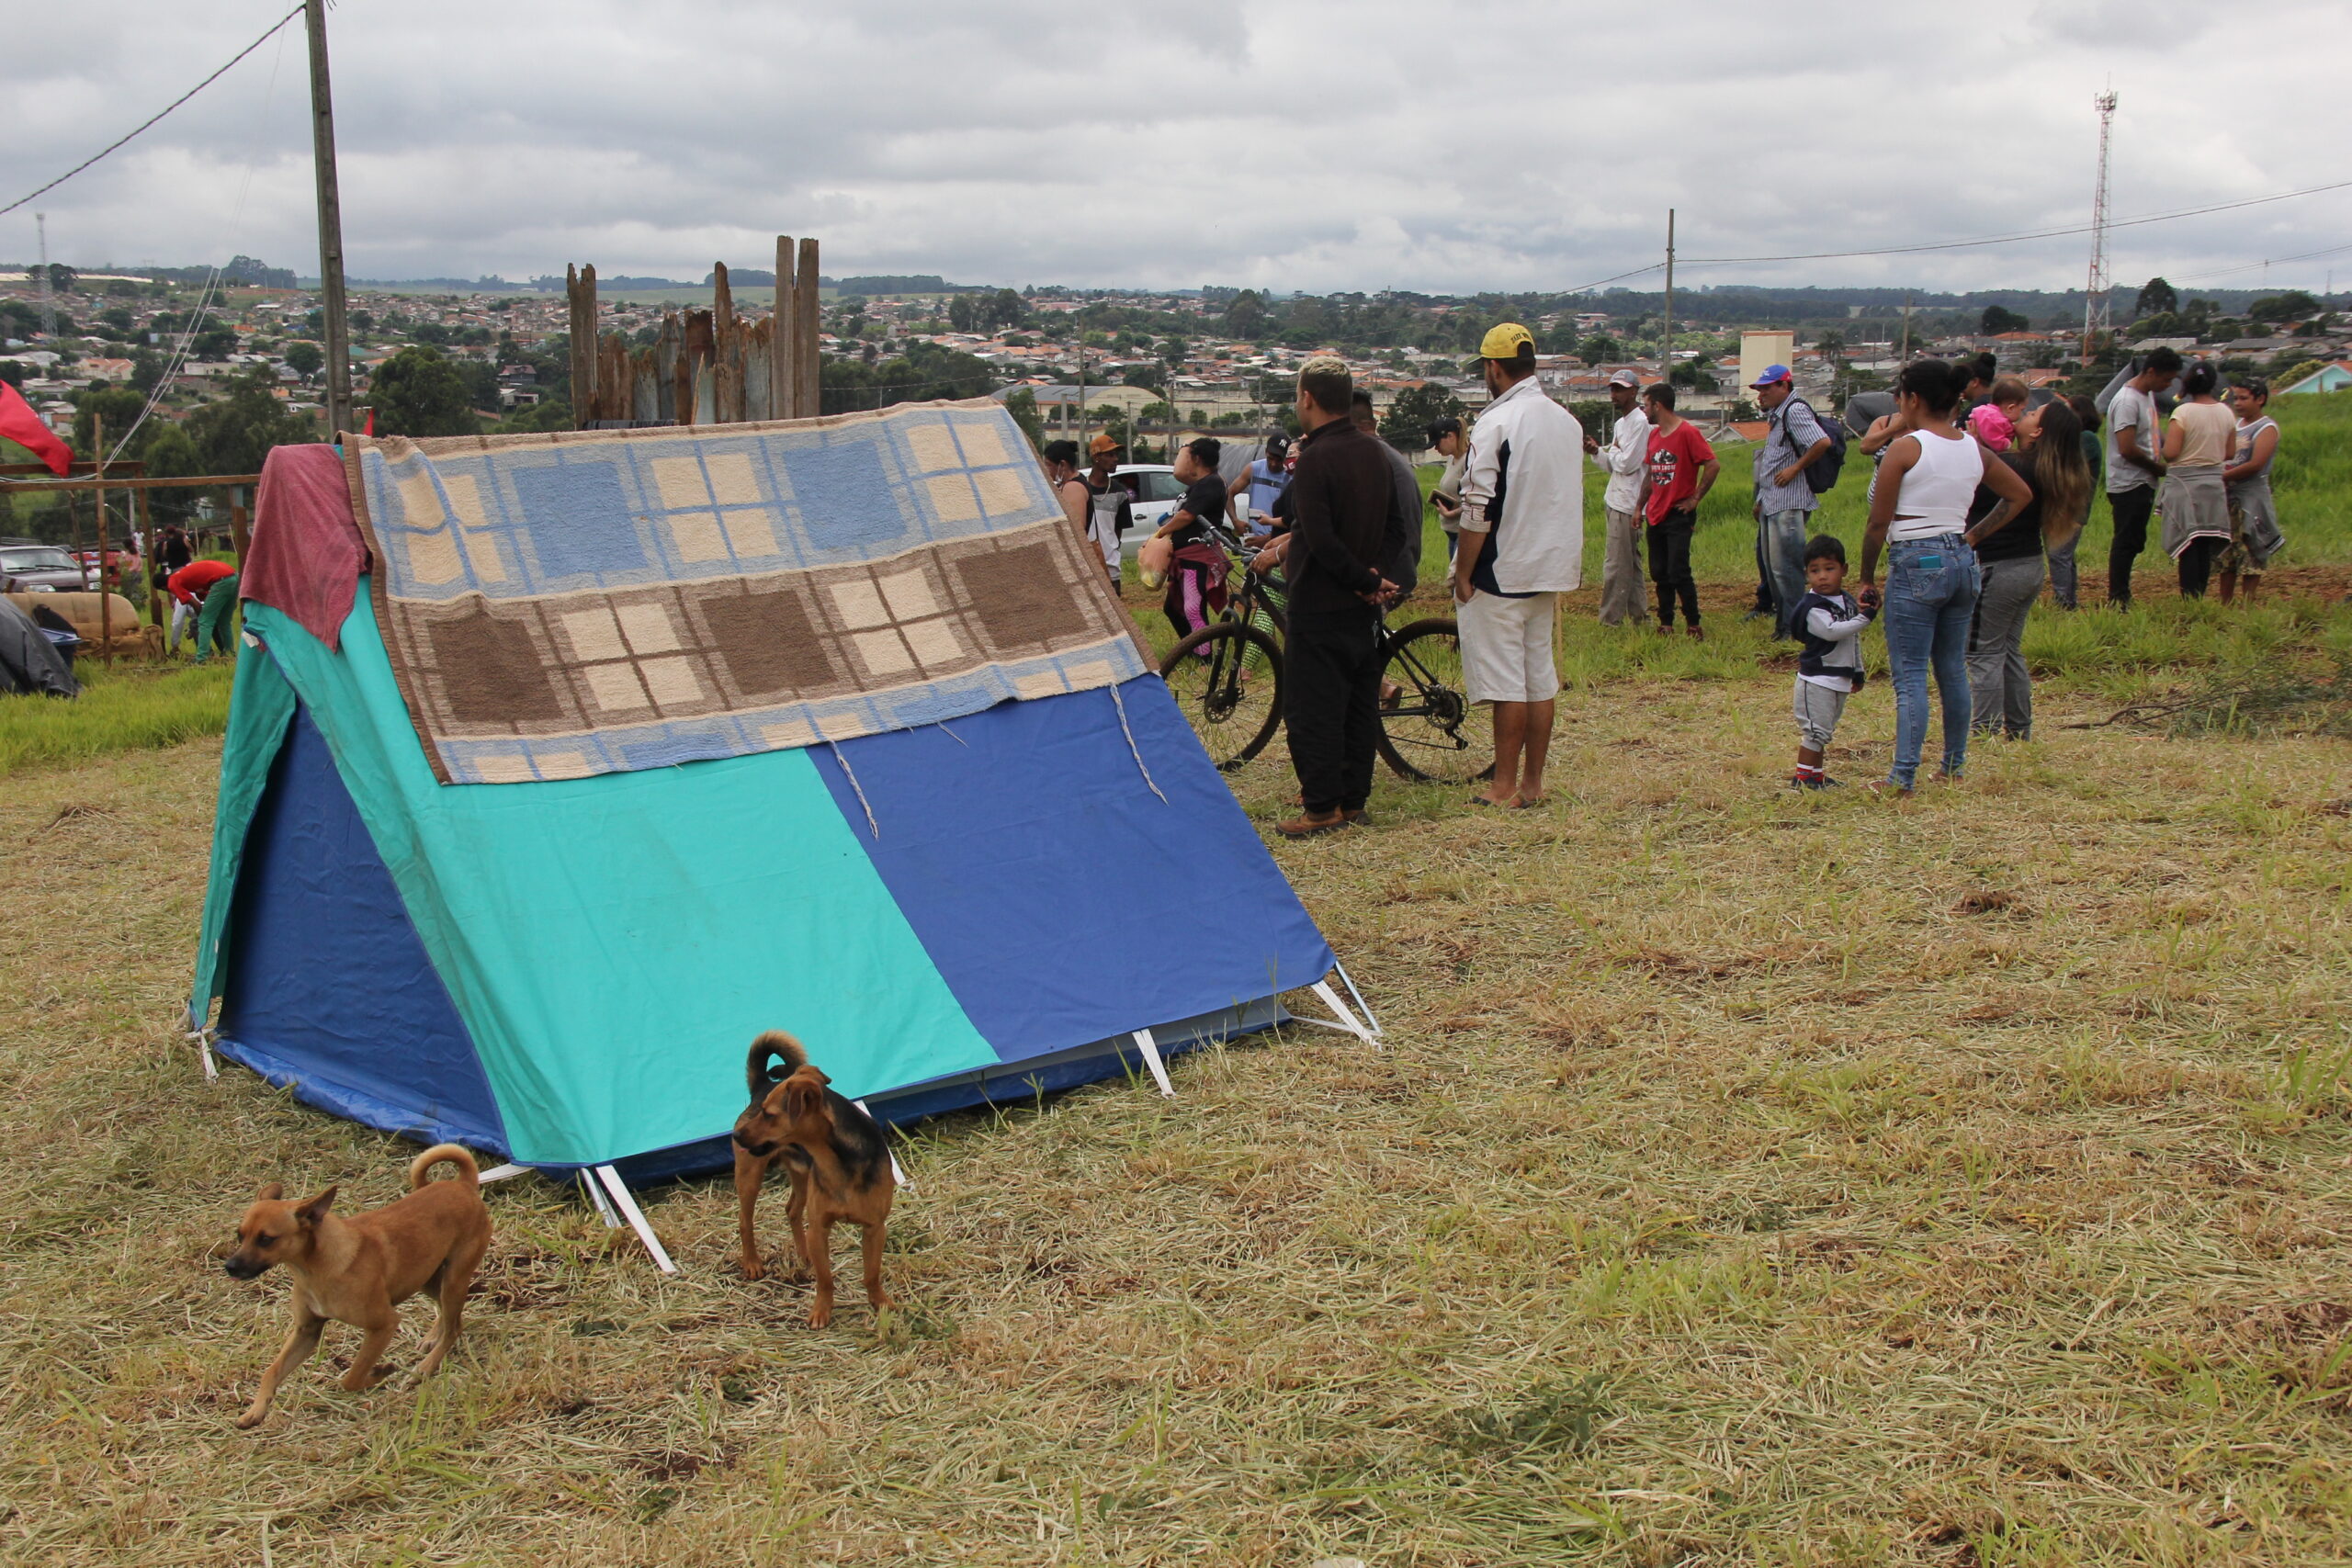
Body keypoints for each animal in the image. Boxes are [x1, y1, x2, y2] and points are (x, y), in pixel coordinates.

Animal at [224, 1142, 492, 1438]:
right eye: (240, 1235)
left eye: (266, 1240)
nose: (230, 1266)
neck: (316, 1267)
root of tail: (464, 1185)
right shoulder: (307, 1331)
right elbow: (272, 1371)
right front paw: (256, 1411)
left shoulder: (383, 1325)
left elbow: (352, 1378)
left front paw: (378, 1373)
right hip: (427, 1279)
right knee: (450, 1316)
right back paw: (433, 1337)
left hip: (453, 1280)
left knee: (455, 1326)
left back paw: (424, 1368)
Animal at [729, 1034, 893, 1335]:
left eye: (769, 1115)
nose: (735, 1135)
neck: (839, 1160)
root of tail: (762, 1085)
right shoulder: (819, 1227)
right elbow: (825, 1278)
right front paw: (821, 1312)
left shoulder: (875, 1227)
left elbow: (872, 1273)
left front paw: (880, 1303)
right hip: (750, 1177)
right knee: (745, 1221)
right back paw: (753, 1263)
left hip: (802, 1177)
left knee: (792, 1210)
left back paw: (803, 1255)